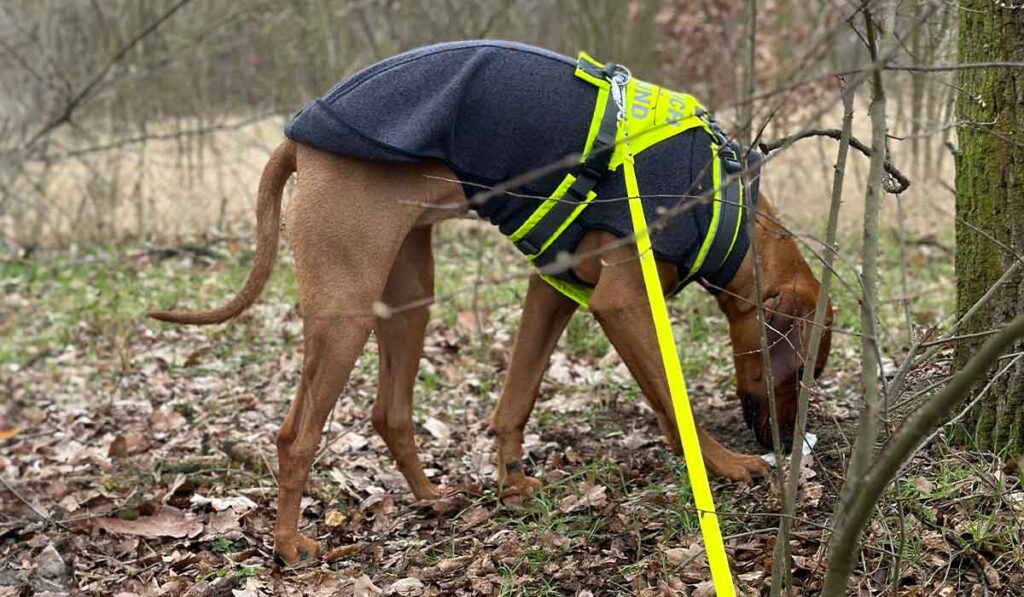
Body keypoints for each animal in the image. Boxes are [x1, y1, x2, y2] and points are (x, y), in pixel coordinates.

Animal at [151, 39, 831, 561]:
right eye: (799, 374)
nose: (786, 446)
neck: (728, 209)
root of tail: (299, 139)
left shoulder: (552, 288)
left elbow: (518, 396)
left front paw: (511, 482)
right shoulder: (622, 304)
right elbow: (673, 399)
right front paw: (724, 464)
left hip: (409, 296)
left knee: (389, 413)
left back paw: (429, 499)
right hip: (346, 307)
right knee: (296, 435)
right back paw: (290, 545)